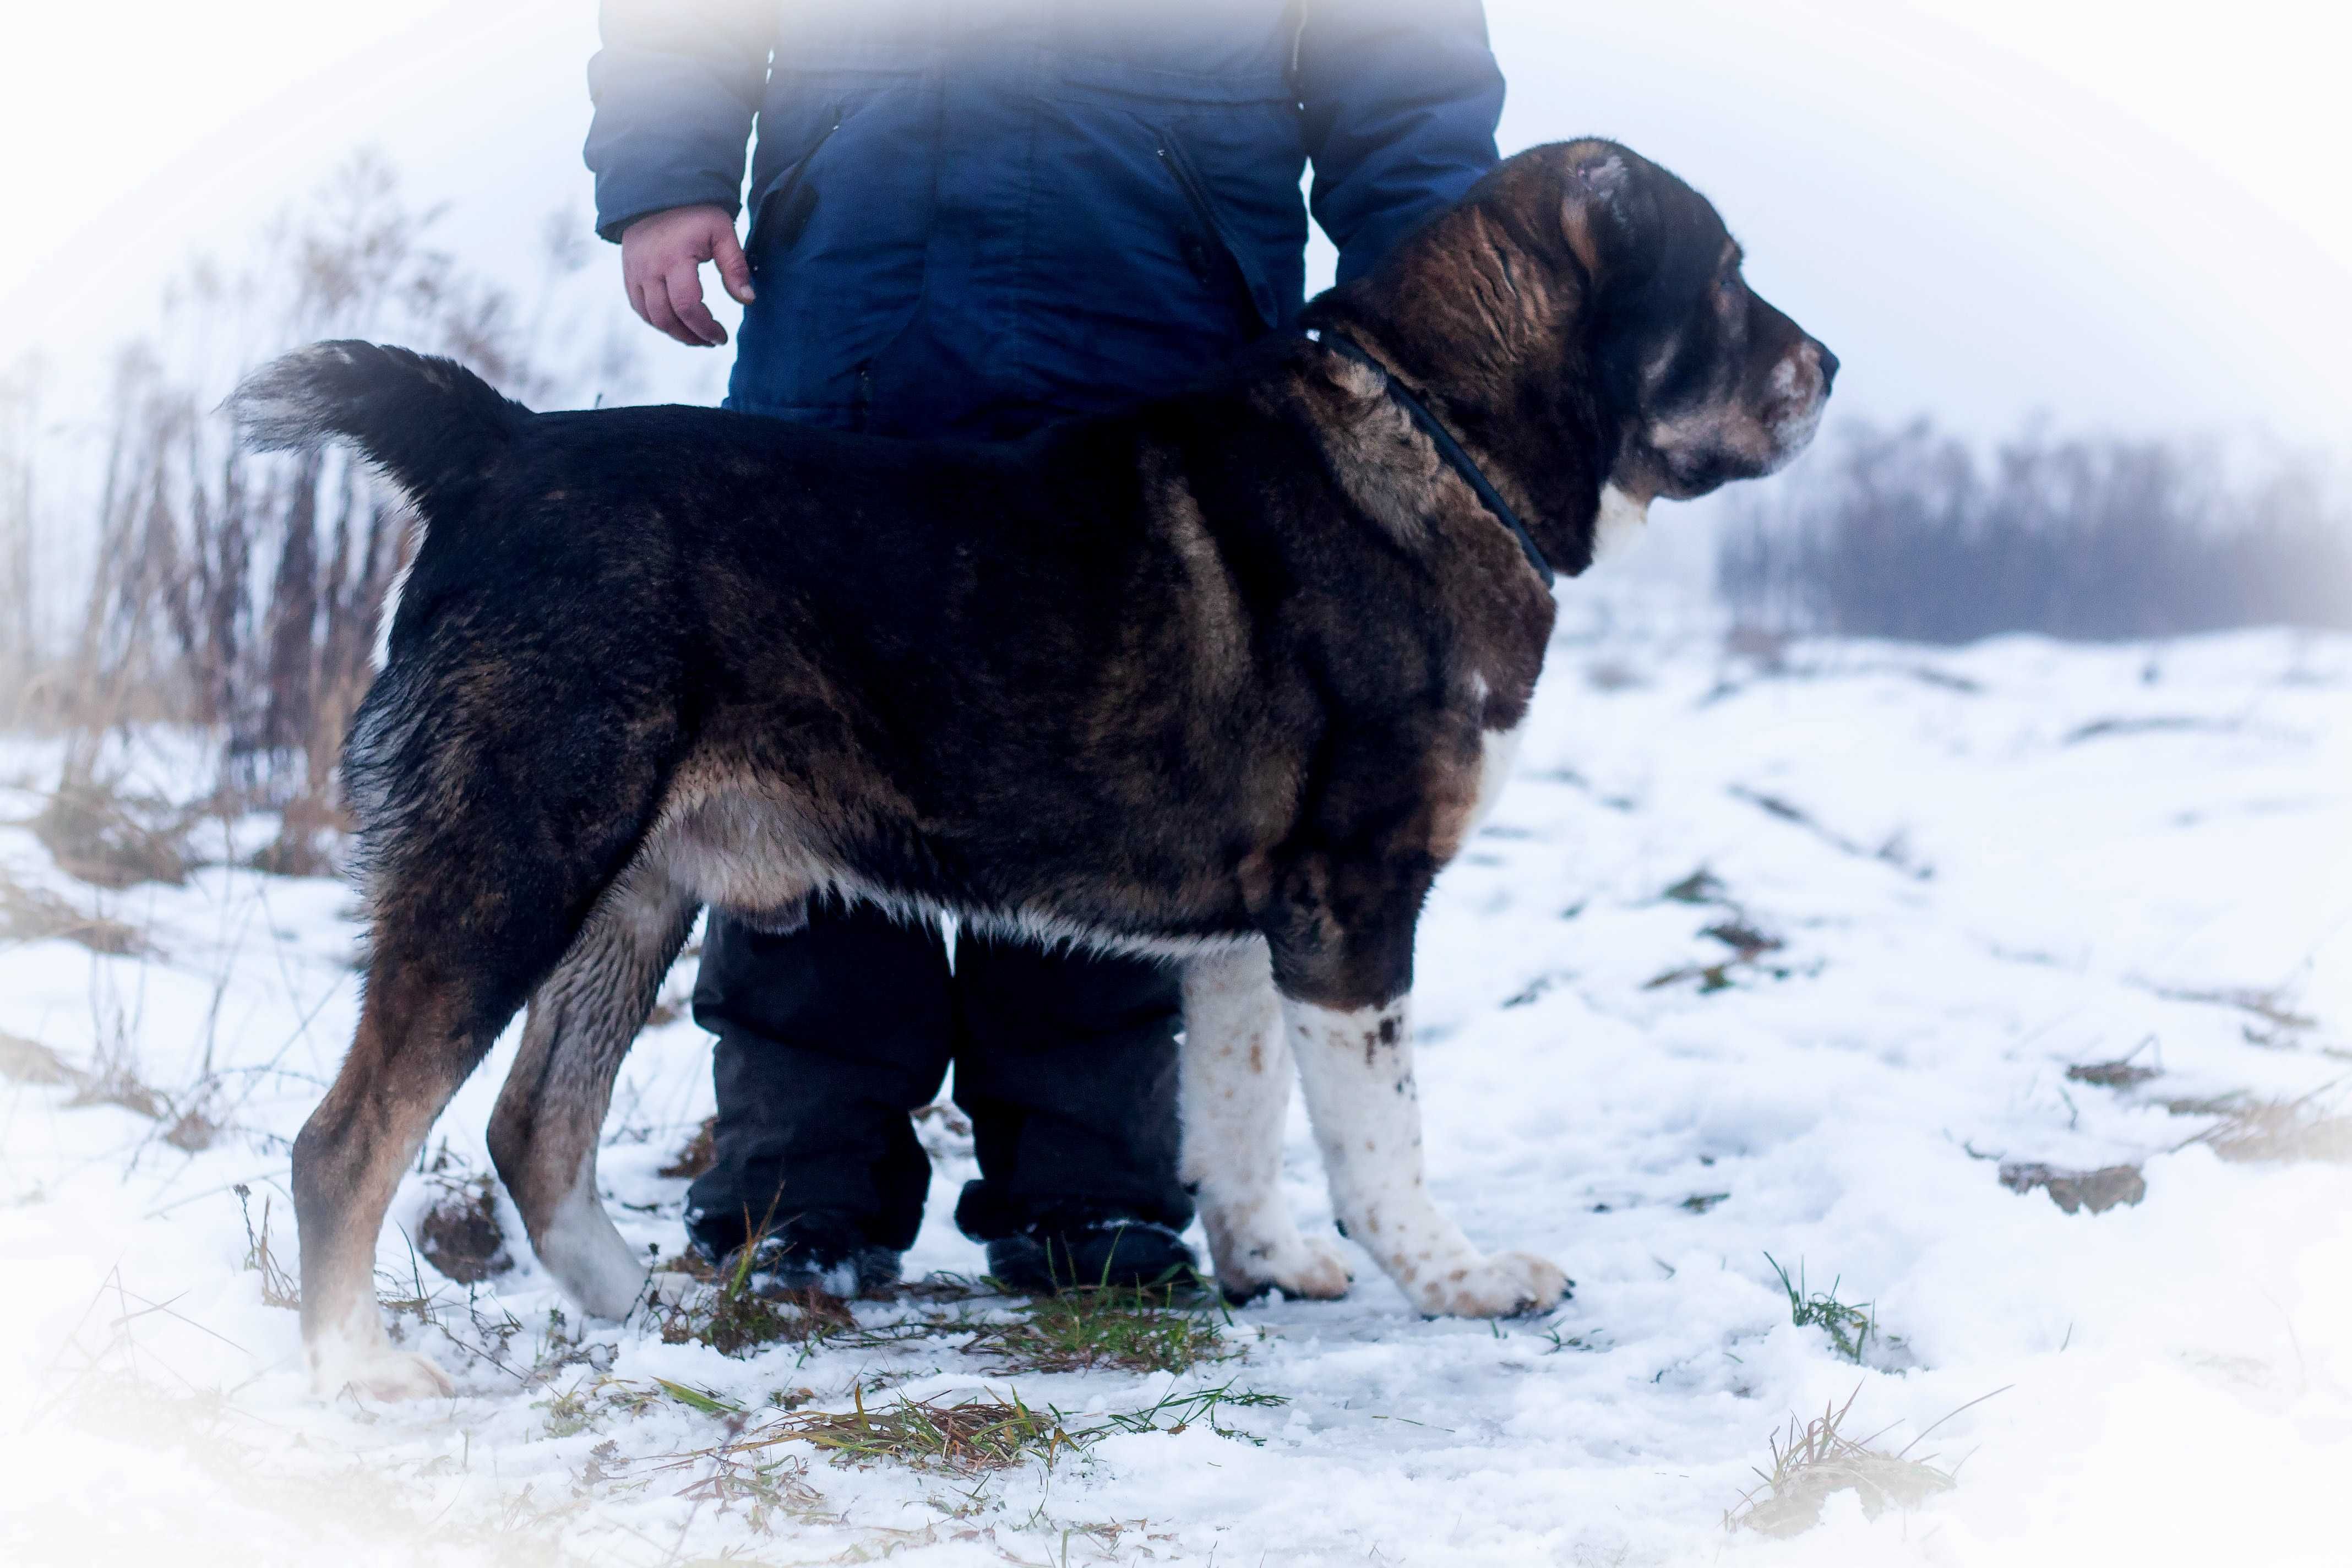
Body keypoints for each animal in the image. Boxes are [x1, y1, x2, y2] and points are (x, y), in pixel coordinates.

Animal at [224, 141, 1834, 1401]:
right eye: (1725, 276)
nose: (1828, 367)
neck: (1441, 440)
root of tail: (493, 453)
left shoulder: (1257, 924)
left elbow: (1238, 1107)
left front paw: (1265, 1260)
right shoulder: (1353, 897)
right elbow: (1378, 1134)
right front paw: (1459, 1278)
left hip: (633, 886)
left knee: (533, 1124)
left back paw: (654, 1314)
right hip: (514, 857)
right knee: (347, 1139)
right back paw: (359, 1369)